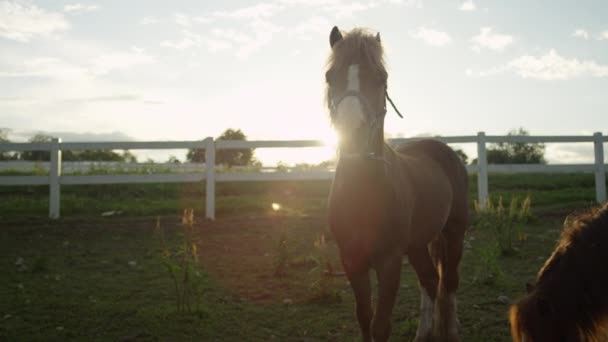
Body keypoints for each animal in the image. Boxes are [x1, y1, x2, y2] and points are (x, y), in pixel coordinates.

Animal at [326, 26, 468, 342]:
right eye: (330, 76)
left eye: (382, 78)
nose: (352, 136)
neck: (363, 193)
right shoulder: (351, 260)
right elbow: (364, 318)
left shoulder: (389, 262)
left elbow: (381, 325)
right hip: (416, 244)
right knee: (430, 280)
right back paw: (424, 333)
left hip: (454, 231)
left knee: (450, 281)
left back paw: (451, 331)